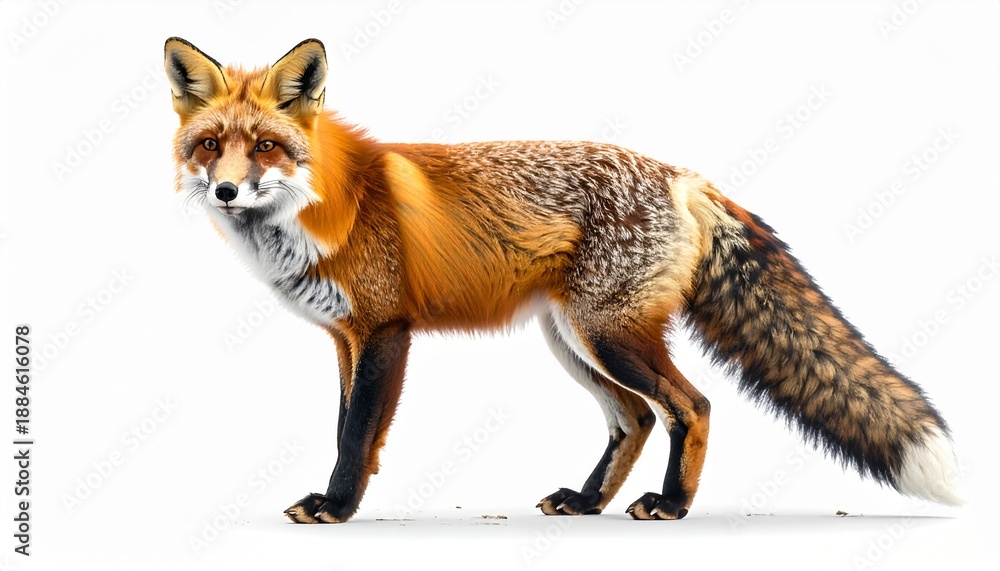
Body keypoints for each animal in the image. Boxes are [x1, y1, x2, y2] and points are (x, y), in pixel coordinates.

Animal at [164, 37, 962, 523]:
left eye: (266, 147)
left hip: (607, 335)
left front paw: (337, 507)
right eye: (210, 145)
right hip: (571, 340)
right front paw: (339, 501)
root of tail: (684, 176)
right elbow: (341, 425)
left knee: (692, 406)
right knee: (637, 418)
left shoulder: (386, 330)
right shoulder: (344, 337)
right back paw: (585, 501)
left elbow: (357, 433)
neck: (323, 208)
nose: (225, 191)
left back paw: (671, 506)